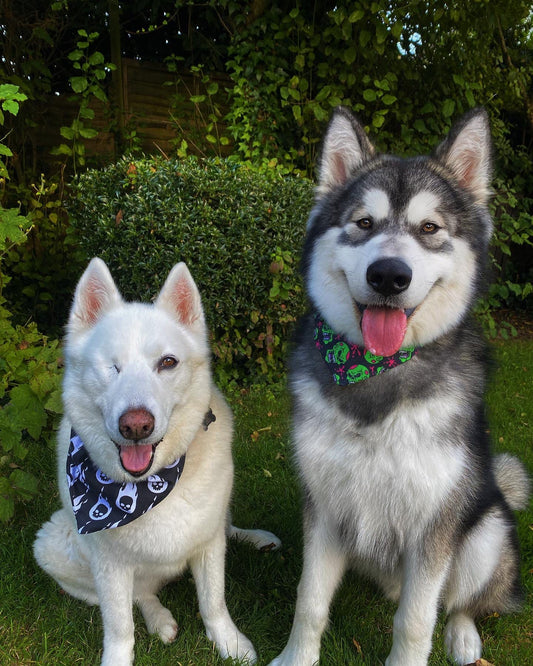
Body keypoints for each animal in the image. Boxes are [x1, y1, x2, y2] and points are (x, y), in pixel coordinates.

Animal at [270, 106, 528, 660]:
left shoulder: (434, 528)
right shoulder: (324, 509)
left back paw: (464, 636)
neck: (375, 374)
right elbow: (309, 602)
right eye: (364, 223)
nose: (389, 275)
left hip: (485, 531)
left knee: (461, 601)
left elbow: (415, 619)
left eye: (429, 227)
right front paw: (295, 658)